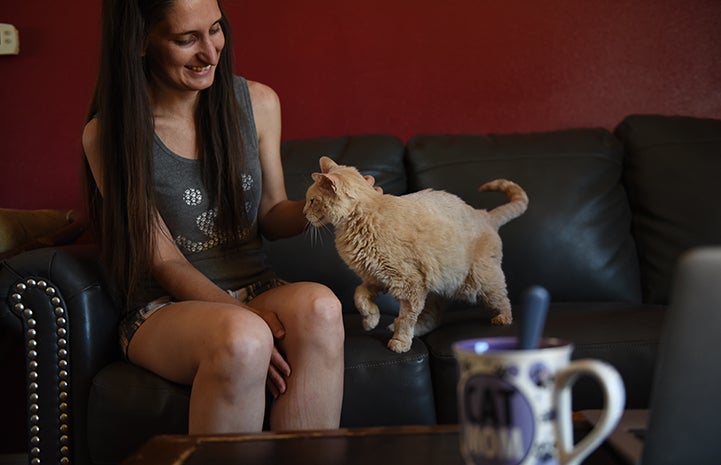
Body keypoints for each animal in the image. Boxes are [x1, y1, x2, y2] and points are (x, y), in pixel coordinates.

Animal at [300, 156, 524, 352]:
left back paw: (503, 318)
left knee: (502, 298)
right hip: (435, 289)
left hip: (481, 280)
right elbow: (359, 295)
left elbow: (405, 318)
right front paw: (370, 319)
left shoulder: (409, 285)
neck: (363, 218)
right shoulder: (376, 278)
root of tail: (484, 214)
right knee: (433, 318)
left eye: (311, 201)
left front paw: (399, 342)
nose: (303, 213)